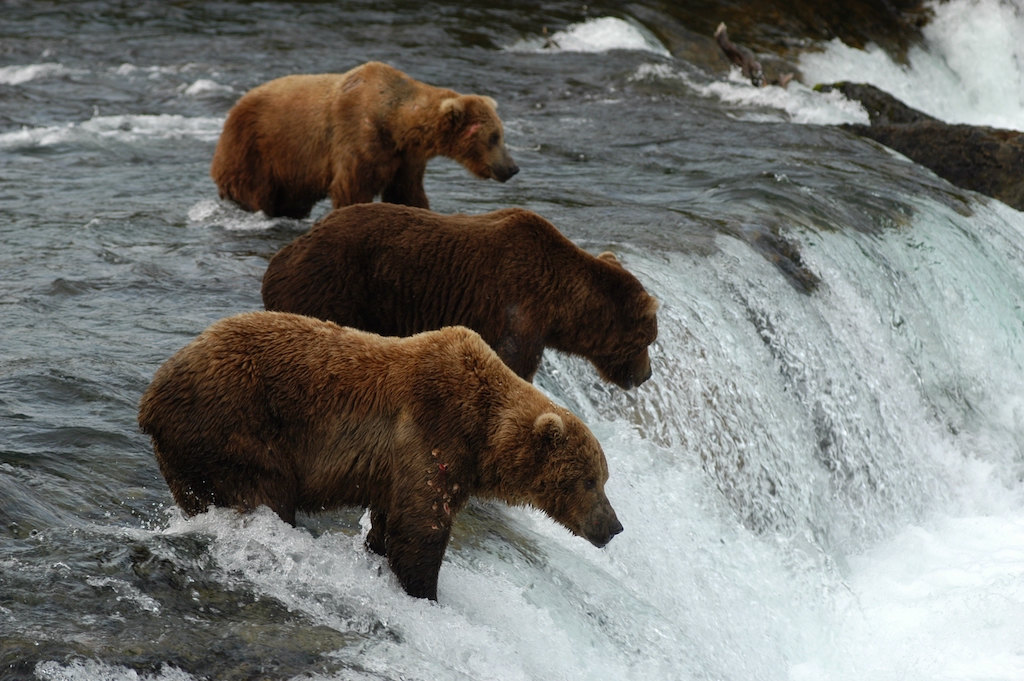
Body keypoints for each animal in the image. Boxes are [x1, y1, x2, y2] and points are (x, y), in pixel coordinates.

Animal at [139, 311, 622, 598]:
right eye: (589, 479)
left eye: (604, 478)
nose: (614, 526)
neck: (484, 436)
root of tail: (151, 396)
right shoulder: (433, 433)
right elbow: (420, 528)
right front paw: (424, 591)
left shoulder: (400, 468)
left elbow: (389, 521)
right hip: (235, 422)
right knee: (263, 493)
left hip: (185, 455)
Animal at [209, 62, 520, 218]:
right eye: (494, 137)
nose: (512, 167)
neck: (395, 123)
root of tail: (233, 108)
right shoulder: (358, 138)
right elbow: (352, 187)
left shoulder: (405, 157)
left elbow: (406, 192)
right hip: (255, 150)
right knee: (254, 192)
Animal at [264, 201, 659, 387]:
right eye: (648, 339)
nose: (647, 374)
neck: (561, 306)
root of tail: (279, 258)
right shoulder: (519, 307)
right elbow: (515, 364)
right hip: (333, 285)